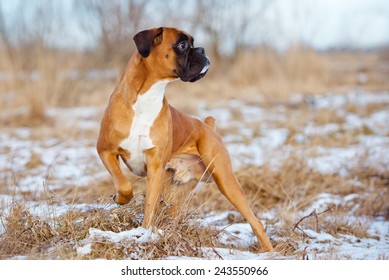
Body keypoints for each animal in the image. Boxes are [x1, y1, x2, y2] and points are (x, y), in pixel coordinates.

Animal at [96, 27, 272, 252]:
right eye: (182, 45)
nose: (203, 49)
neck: (147, 96)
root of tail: (207, 126)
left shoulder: (155, 167)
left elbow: (149, 205)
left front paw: (143, 233)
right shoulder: (105, 150)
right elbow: (124, 184)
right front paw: (120, 200)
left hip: (225, 180)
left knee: (255, 221)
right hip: (177, 192)